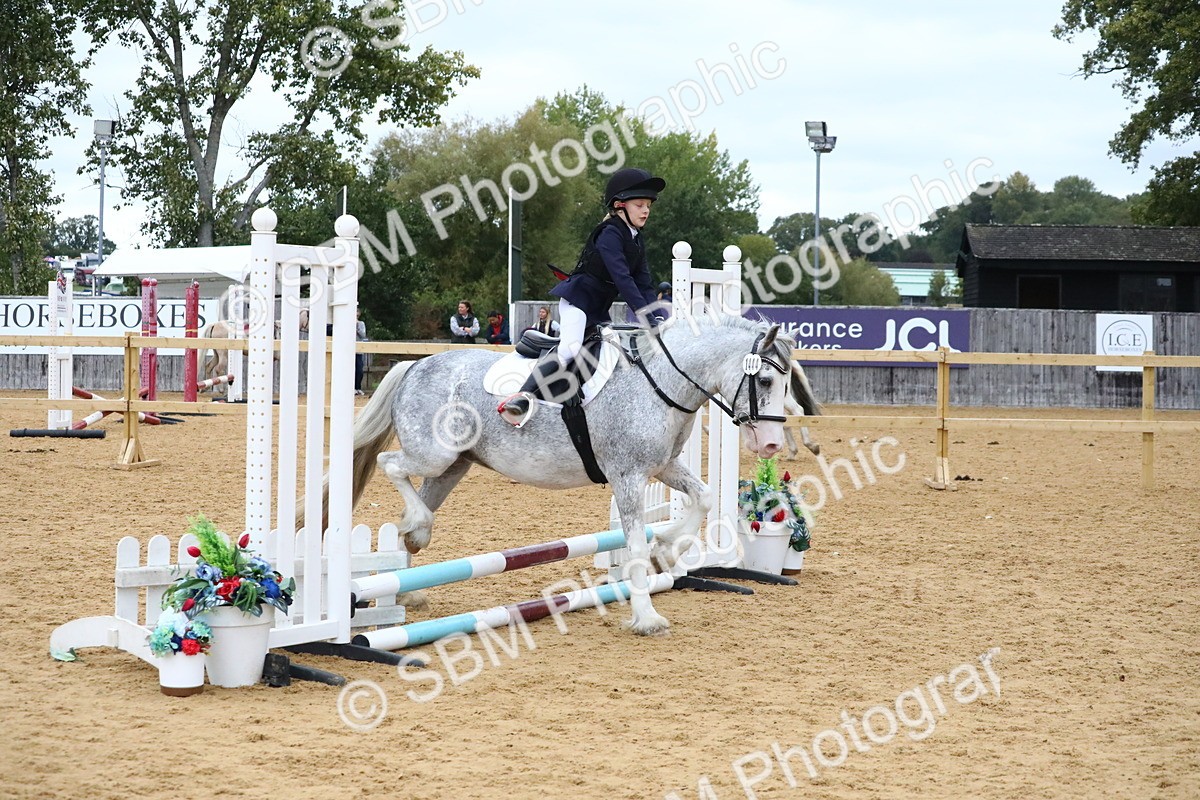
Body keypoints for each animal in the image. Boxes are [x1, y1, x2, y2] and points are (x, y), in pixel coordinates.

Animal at [336, 314, 818, 636]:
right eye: (767, 382)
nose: (771, 445)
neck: (660, 383)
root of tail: (417, 365)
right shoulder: (628, 476)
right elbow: (635, 545)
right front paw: (647, 617)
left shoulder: (663, 467)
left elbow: (701, 498)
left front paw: (667, 550)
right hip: (433, 455)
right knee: (391, 465)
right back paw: (414, 535)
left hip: (454, 466)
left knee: (417, 505)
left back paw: (407, 575)